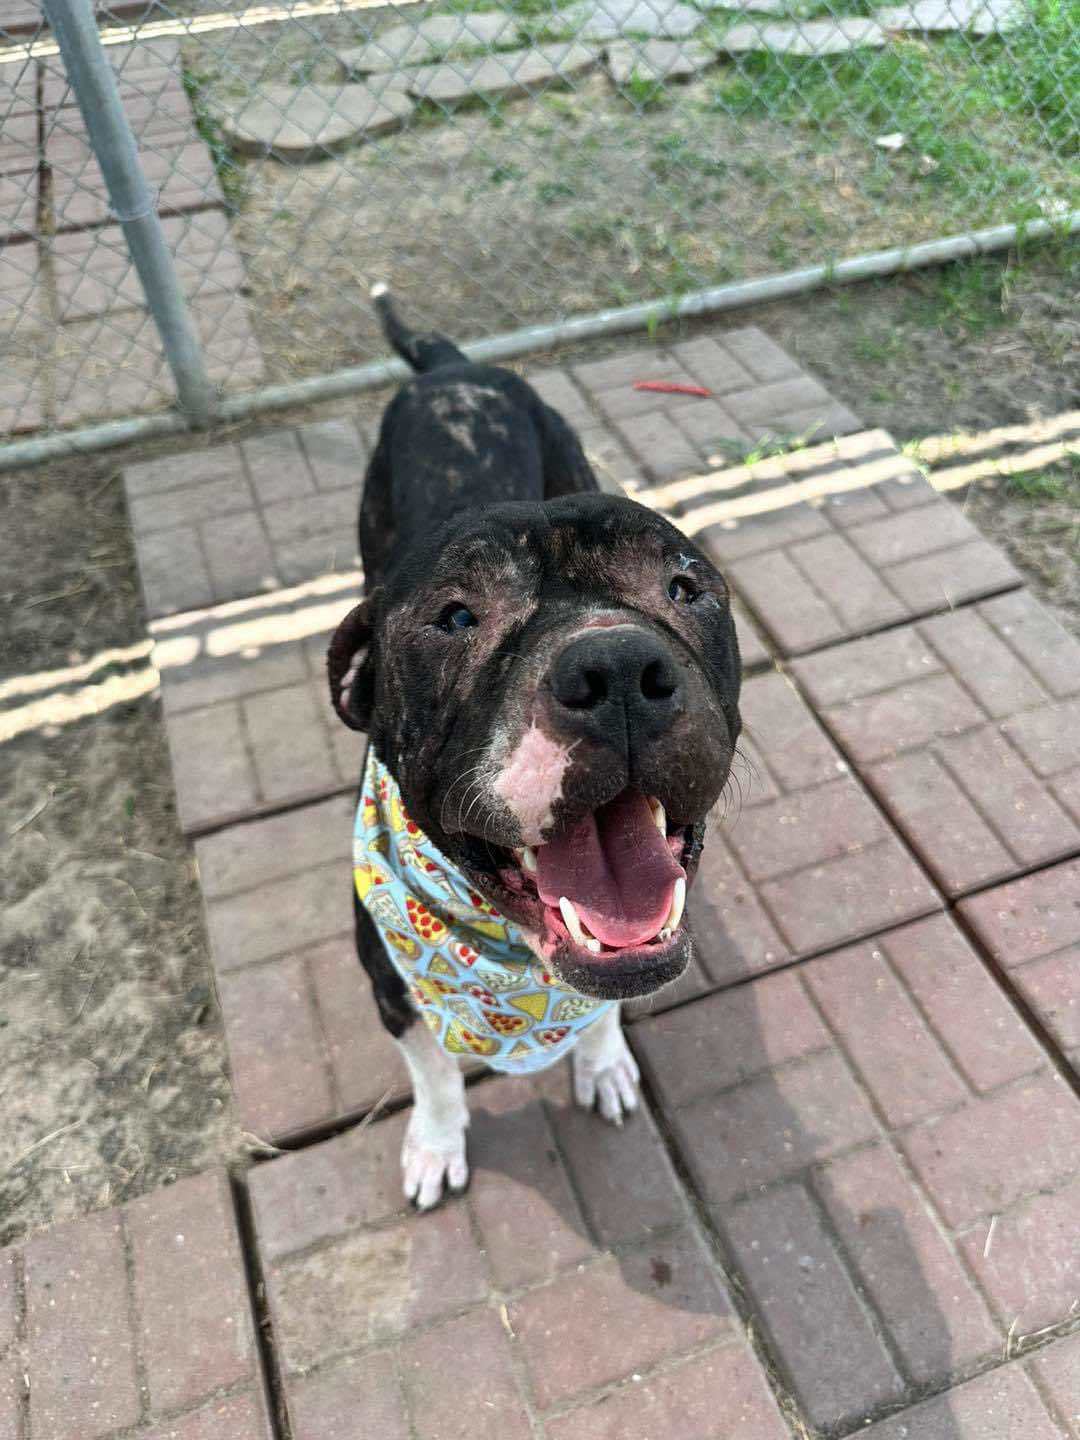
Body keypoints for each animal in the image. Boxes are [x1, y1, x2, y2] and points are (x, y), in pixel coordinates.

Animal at [325, 286, 743, 1209]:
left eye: (685, 587)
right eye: (454, 617)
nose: (617, 668)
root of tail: (452, 368)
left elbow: (602, 1010)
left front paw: (604, 1062)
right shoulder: (389, 988)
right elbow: (435, 1072)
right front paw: (436, 1142)